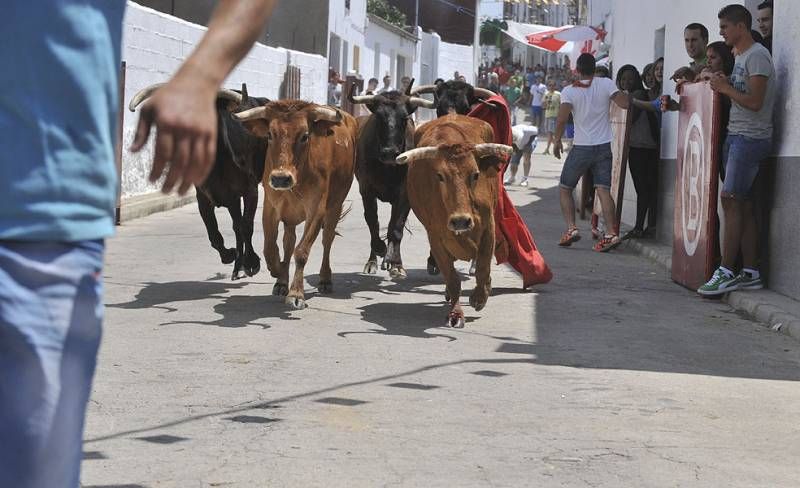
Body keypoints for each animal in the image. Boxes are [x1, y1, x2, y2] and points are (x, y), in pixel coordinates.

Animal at [234, 100, 354, 308]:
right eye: (270, 134)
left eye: (305, 136)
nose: (281, 178)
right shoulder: (270, 206)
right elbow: (269, 247)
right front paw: (277, 270)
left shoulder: (316, 209)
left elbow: (301, 252)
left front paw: (296, 293)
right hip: (290, 216)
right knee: (288, 242)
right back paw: (282, 281)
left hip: (335, 206)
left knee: (327, 239)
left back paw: (325, 279)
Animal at [396, 115, 512, 328]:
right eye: (440, 176)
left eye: (475, 174)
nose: (461, 222)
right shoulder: (435, 236)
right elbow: (451, 278)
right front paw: (456, 314)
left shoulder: (488, 226)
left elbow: (483, 266)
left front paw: (479, 297)